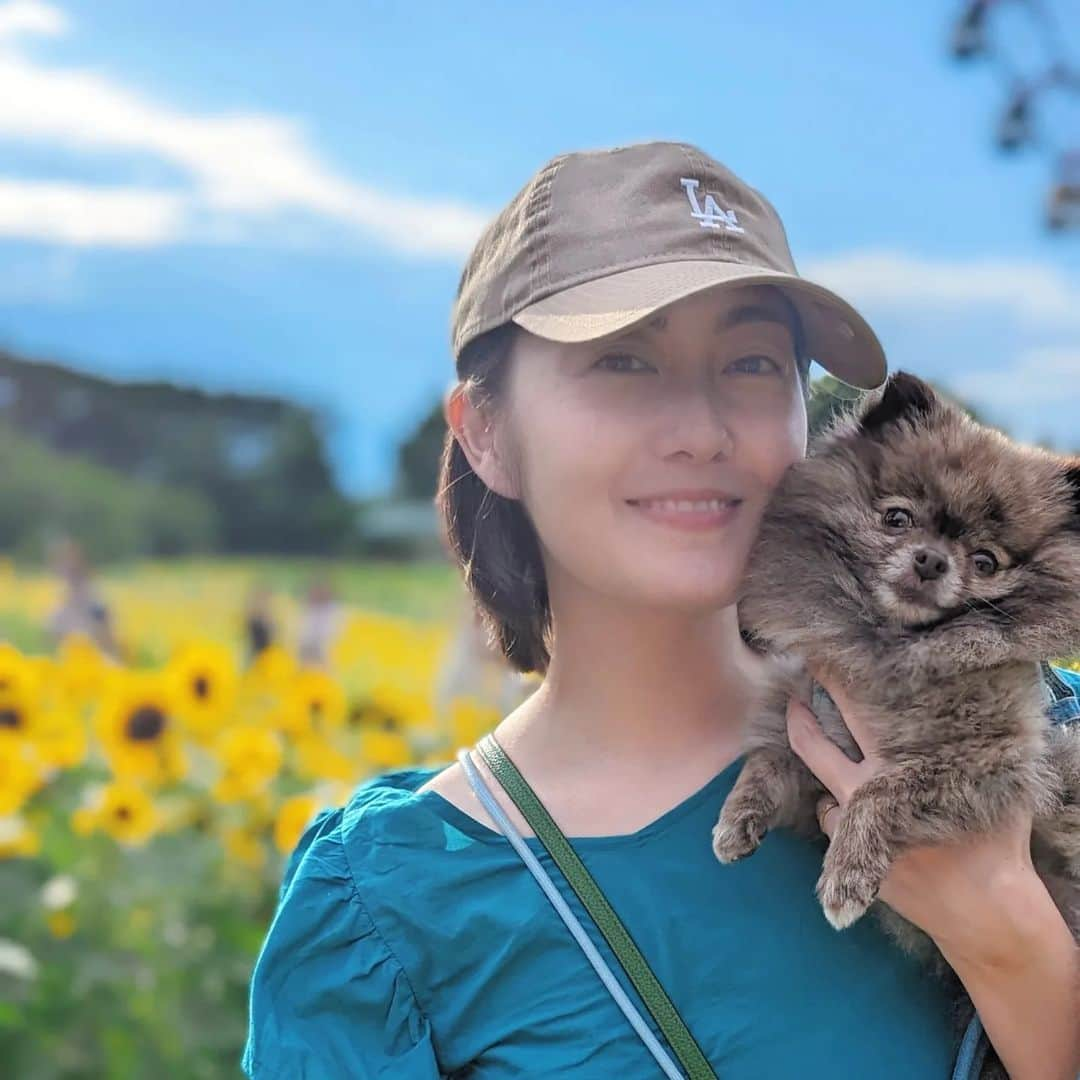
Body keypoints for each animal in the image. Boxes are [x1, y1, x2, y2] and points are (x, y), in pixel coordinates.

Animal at [708, 373, 1080, 972]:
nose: (930, 559)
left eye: (986, 562)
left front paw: (846, 876)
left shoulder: (987, 761)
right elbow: (766, 759)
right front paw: (735, 819)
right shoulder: (808, 717)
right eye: (897, 519)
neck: (894, 644)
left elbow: (881, 790)